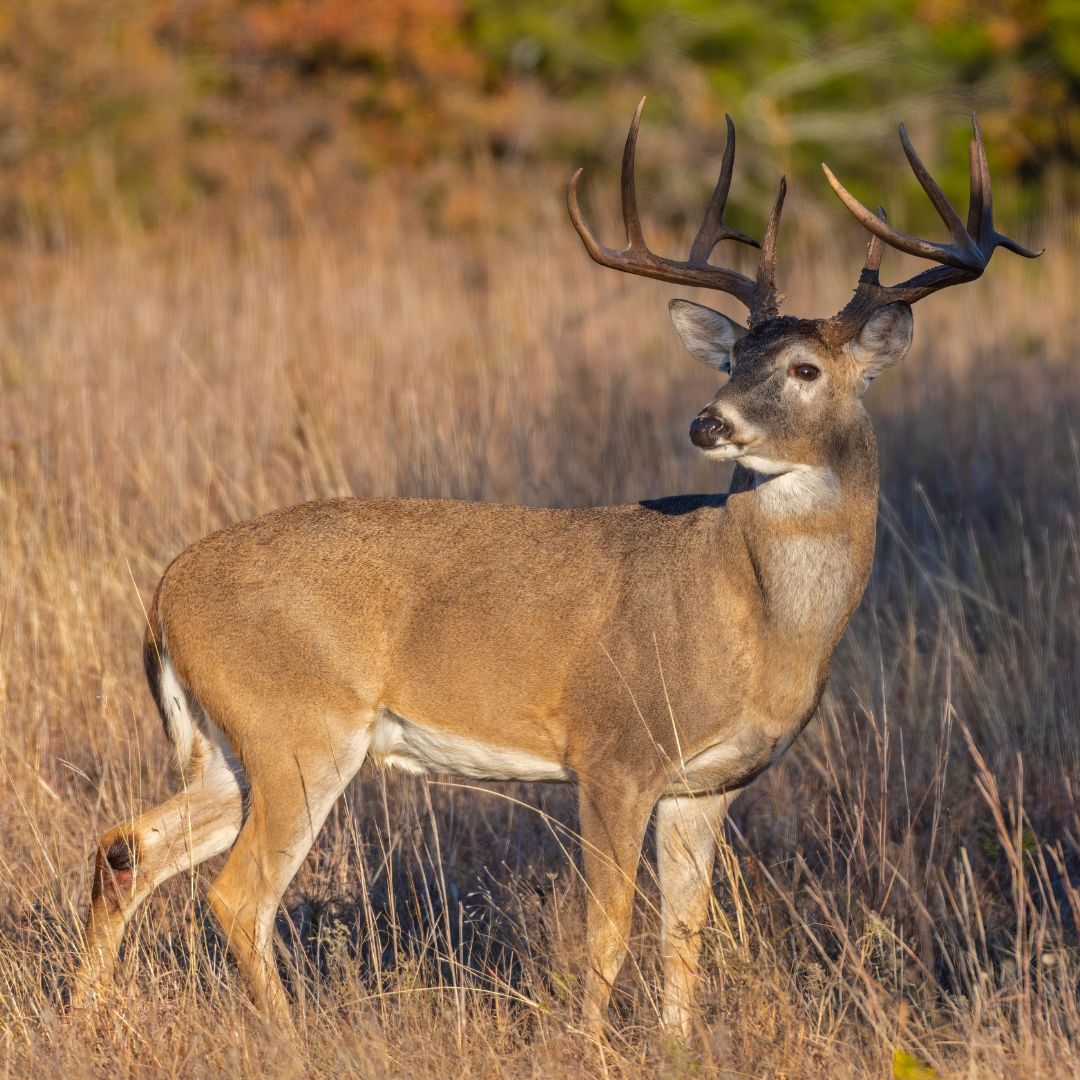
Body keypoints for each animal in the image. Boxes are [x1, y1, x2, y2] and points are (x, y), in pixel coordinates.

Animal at [73, 103, 1036, 1036]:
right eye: (733, 359)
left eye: (803, 367)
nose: (709, 422)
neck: (753, 617)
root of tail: (164, 595)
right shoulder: (615, 749)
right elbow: (608, 928)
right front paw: (592, 1045)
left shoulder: (707, 784)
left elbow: (684, 930)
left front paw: (676, 1047)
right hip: (298, 725)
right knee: (237, 895)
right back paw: (290, 1039)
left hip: (227, 744)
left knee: (126, 846)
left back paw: (93, 1018)